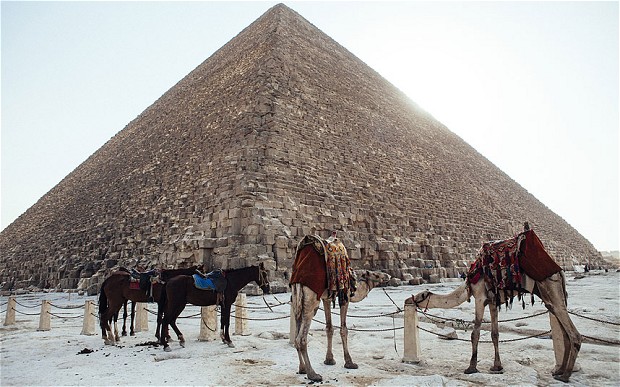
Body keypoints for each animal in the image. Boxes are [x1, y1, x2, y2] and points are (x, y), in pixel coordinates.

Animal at [288, 233, 390, 382]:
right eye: (376, 274)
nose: (388, 275)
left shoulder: (326, 298)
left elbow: (329, 328)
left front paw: (329, 360)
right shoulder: (345, 296)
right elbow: (344, 329)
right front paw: (349, 362)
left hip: (297, 300)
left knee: (296, 336)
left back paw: (302, 369)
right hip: (311, 300)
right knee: (301, 338)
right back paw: (313, 374)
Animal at [410, 226, 580, 384]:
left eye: (420, 296)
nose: (409, 300)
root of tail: (560, 271)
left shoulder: (479, 298)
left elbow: (475, 333)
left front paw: (471, 367)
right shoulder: (492, 301)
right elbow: (495, 334)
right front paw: (497, 366)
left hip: (551, 287)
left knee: (573, 333)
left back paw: (565, 375)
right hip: (549, 296)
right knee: (564, 331)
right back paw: (559, 371)